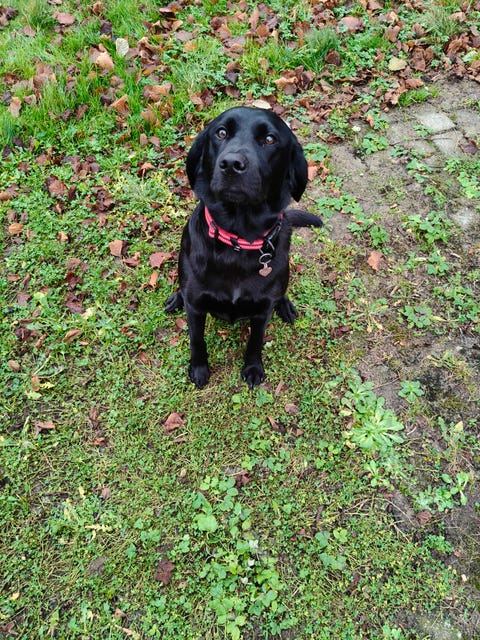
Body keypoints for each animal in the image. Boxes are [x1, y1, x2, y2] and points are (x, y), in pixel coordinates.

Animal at [165, 106, 322, 388]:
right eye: (221, 133)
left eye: (269, 139)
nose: (231, 164)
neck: (237, 240)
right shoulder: (196, 307)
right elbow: (197, 340)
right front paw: (199, 369)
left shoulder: (262, 311)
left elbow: (255, 341)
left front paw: (253, 368)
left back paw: (286, 306)